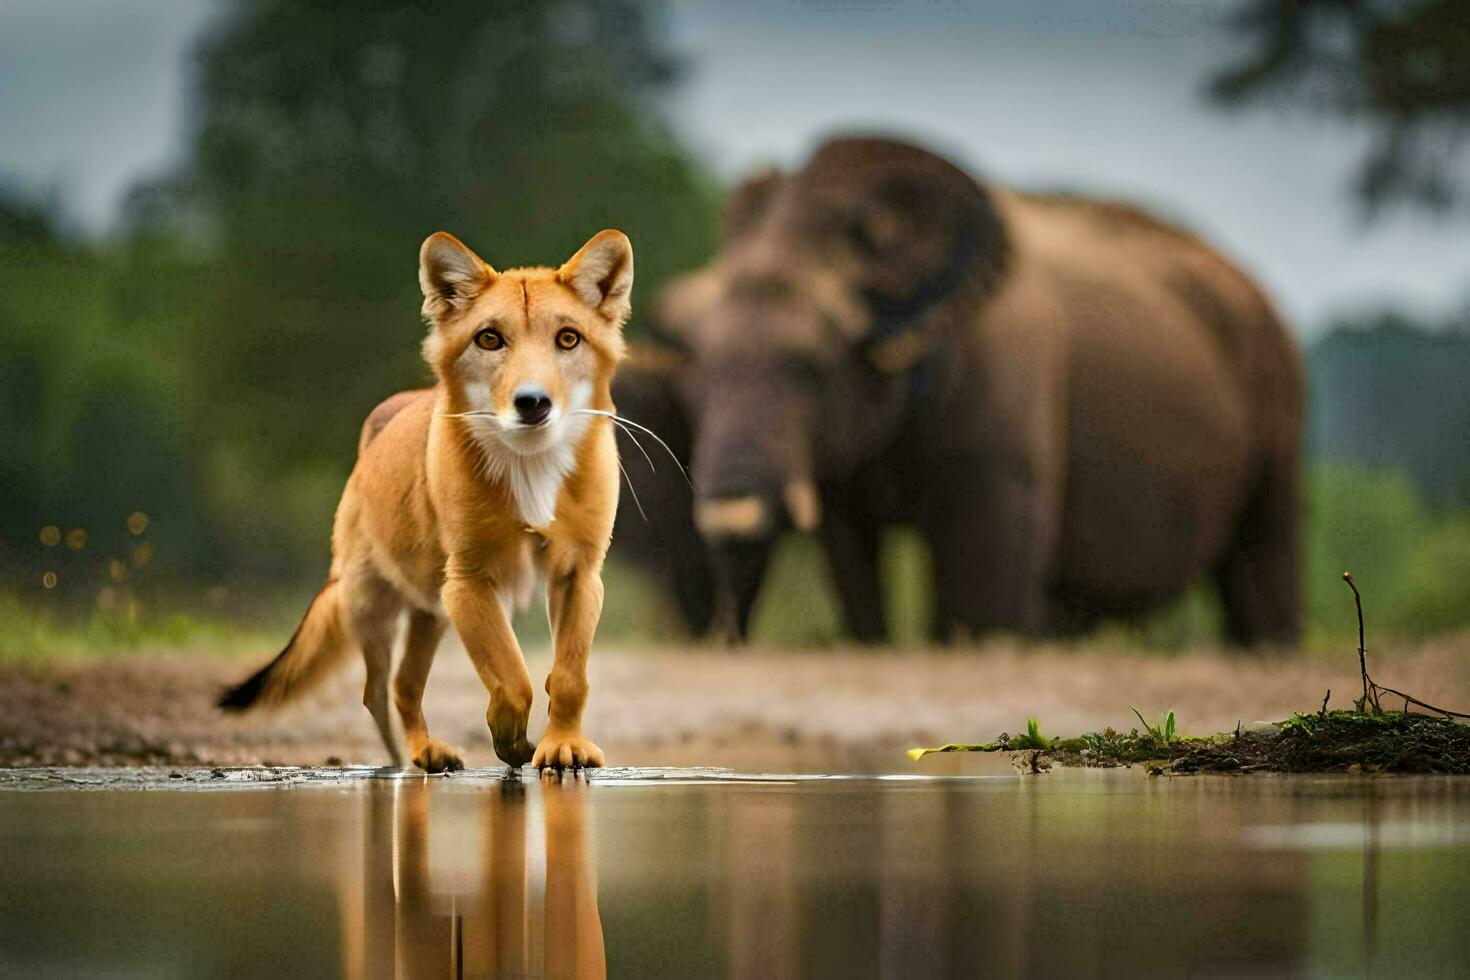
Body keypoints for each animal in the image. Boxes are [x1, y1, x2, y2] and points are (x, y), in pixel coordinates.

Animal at [614, 135, 1305, 643]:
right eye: (698, 382)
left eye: (814, 366)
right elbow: (851, 564)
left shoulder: (1003, 391)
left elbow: (983, 604)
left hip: (1280, 399)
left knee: (1261, 572)